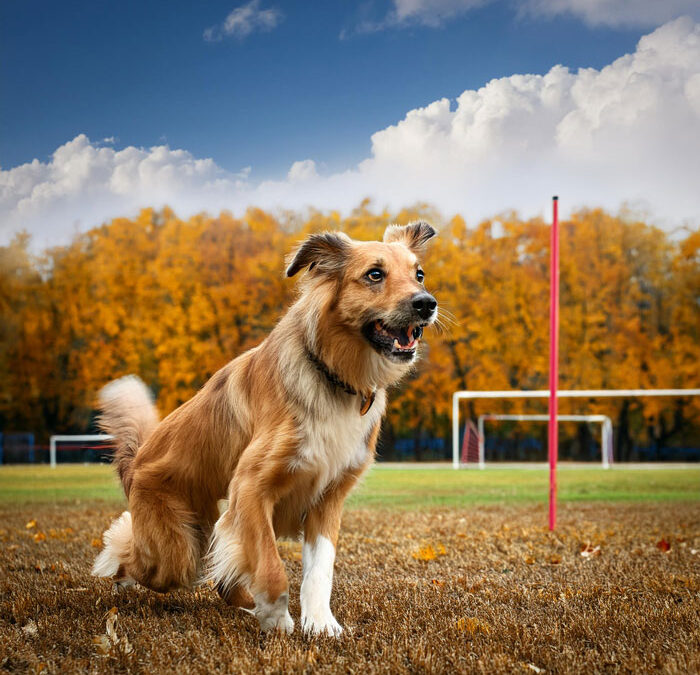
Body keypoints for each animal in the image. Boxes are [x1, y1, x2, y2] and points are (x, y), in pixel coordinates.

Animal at [93, 220, 438, 632]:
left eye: (419, 274)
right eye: (374, 274)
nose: (426, 303)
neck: (333, 377)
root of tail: (137, 460)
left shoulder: (328, 497)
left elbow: (320, 571)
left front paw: (320, 624)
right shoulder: (251, 488)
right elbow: (271, 565)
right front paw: (277, 619)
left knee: (223, 580)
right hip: (175, 551)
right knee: (132, 555)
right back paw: (117, 581)